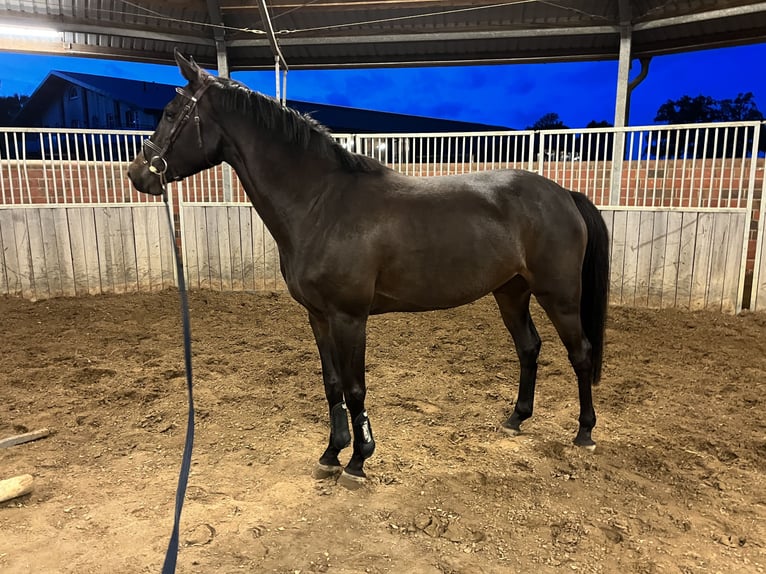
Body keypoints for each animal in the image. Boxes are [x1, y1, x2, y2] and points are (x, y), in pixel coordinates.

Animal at [130, 50, 612, 490]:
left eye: (170, 113)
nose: (138, 175)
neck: (321, 203)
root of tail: (564, 194)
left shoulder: (350, 318)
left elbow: (355, 386)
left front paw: (358, 462)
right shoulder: (319, 317)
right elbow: (332, 385)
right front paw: (330, 454)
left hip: (559, 296)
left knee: (581, 353)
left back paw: (585, 432)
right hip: (511, 292)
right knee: (529, 348)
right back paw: (516, 418)